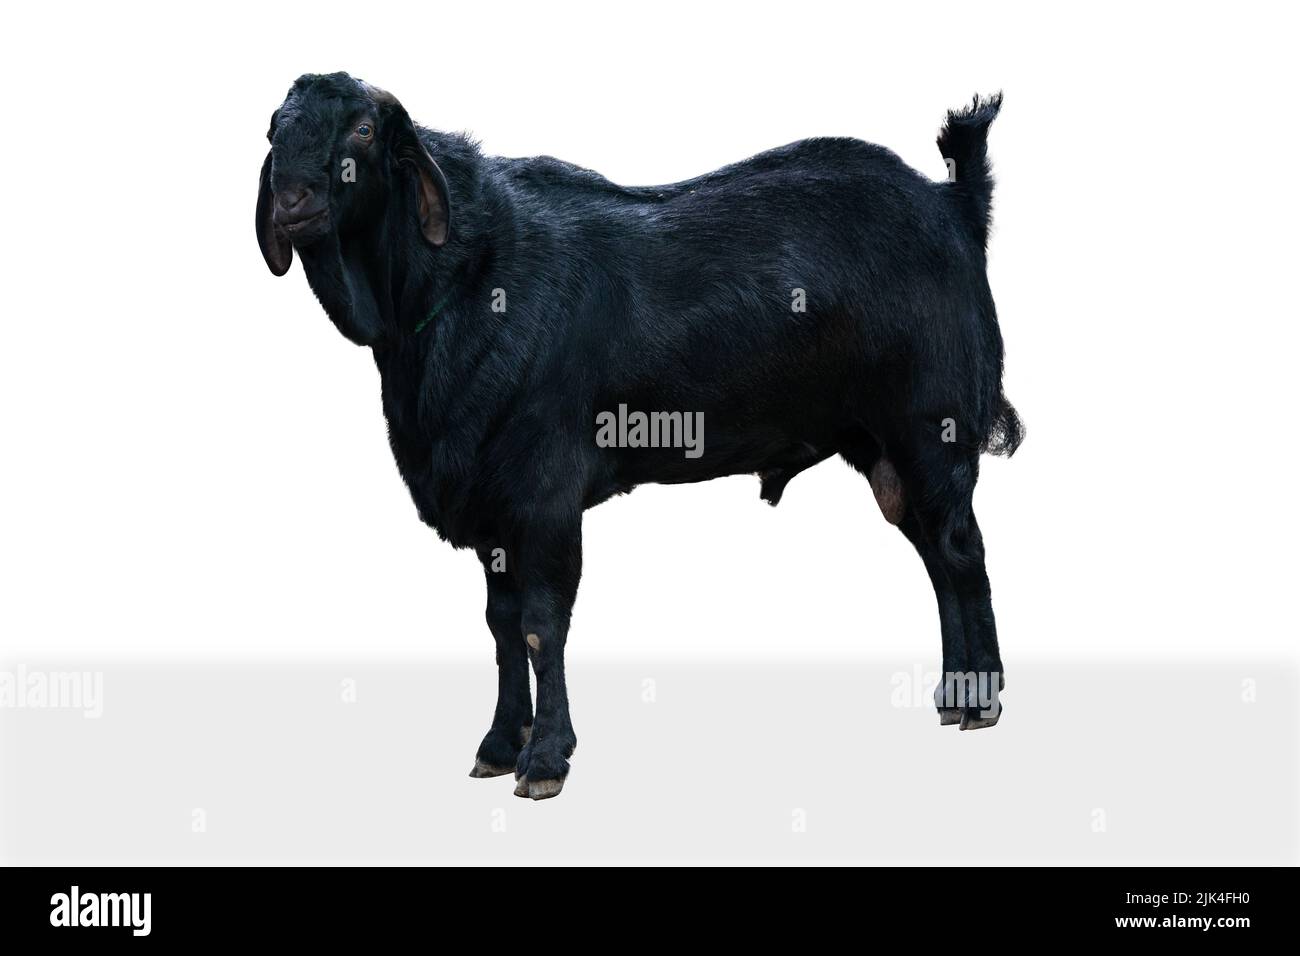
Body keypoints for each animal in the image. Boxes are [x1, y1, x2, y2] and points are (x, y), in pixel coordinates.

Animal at [256, 72, 1022, 800]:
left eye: (361, 129)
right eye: (274, 128)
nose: (292, 201)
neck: (467, 281)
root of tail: (954, 204)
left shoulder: (543, 496)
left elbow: (540, 624)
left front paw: (546, 759)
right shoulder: (491, 511)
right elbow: (501, 626)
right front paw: (499, 746)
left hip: (931, 431)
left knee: (961, 552)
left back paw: (980, 701)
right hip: (882, 449)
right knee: (936, 557)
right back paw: (952, 695)